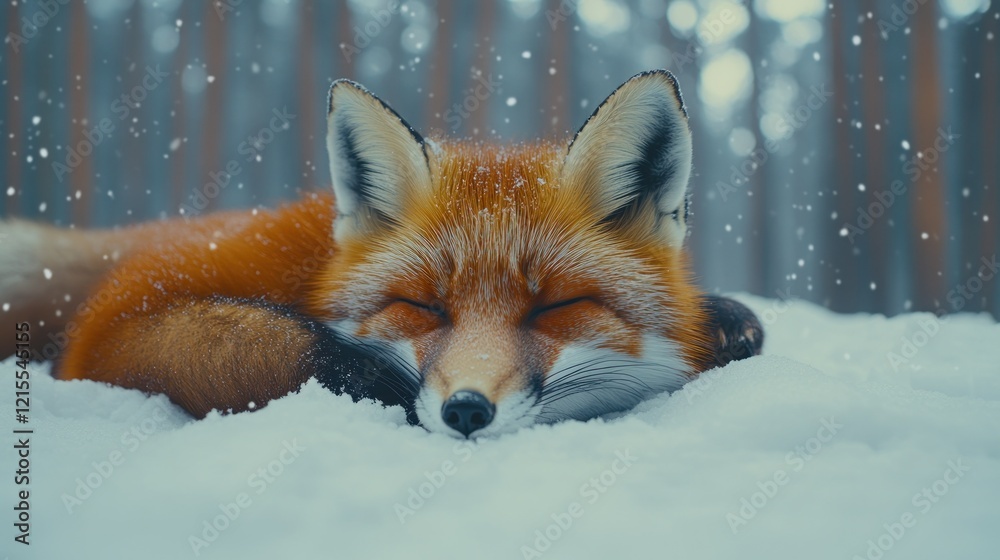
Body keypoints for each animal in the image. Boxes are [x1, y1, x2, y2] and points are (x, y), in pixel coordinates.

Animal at [1, 70, 762, 438]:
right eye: (421, 307)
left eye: (557, 307)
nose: (465, 411)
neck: (309, 271)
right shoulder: (118, 326)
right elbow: (282, 346)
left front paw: (720, 325)